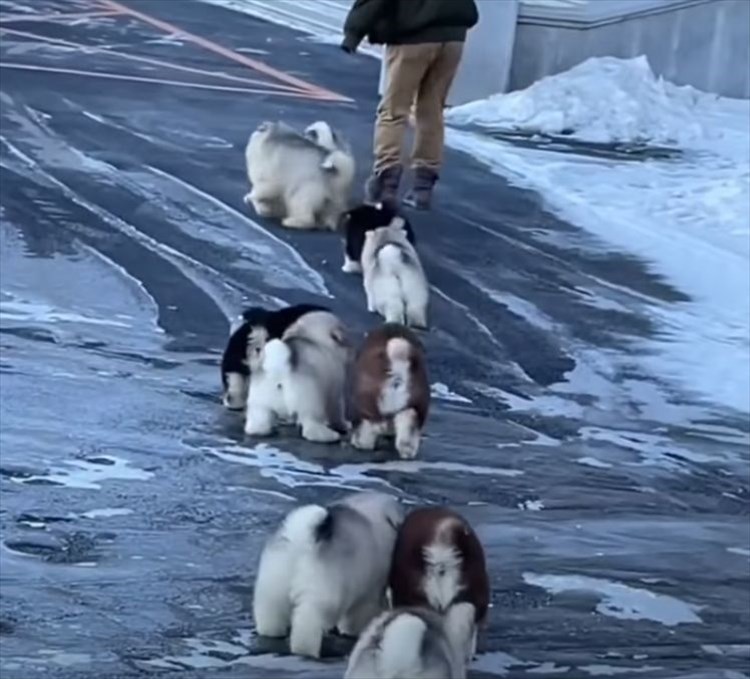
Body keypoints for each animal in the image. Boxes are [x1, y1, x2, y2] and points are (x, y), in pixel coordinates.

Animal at [247, 310, 352, 444]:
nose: (352, 351)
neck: (313, 339)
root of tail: (278, 367)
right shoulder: (335, 394)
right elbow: (337, 414)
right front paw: (344, 425)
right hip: (311, 405)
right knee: (310, 428)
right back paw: (329, 436)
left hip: (260, 405)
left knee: (259, 423)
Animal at [253, 492, 406, 660]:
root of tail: (302, 538)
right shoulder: (367, 593)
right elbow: (355, 618)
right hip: (318, 597)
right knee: (306, 629)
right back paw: (308, 652)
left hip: (271, 590)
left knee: (270, 618)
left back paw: (271, 635)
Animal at [352, 322, 428, 460]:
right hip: (413, 406)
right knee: (408, 429)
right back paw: (406, 451)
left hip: (369, 404)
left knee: (371, 428)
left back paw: (360, 443)